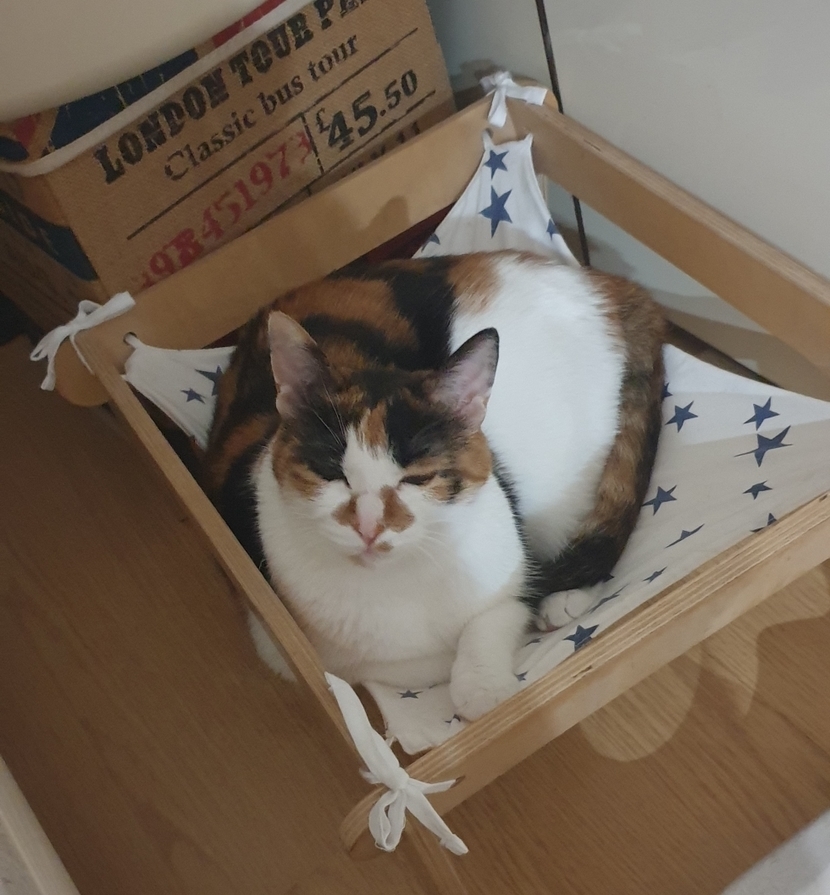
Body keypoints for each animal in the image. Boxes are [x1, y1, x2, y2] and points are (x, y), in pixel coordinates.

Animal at [203, 250, 665, 720]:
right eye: (331, 472)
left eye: (418, 477)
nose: (368, 525)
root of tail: (607, 283)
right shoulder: (273, 634)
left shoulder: (504, 566)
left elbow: (494, 618)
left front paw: (484, 688)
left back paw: (564, 600)